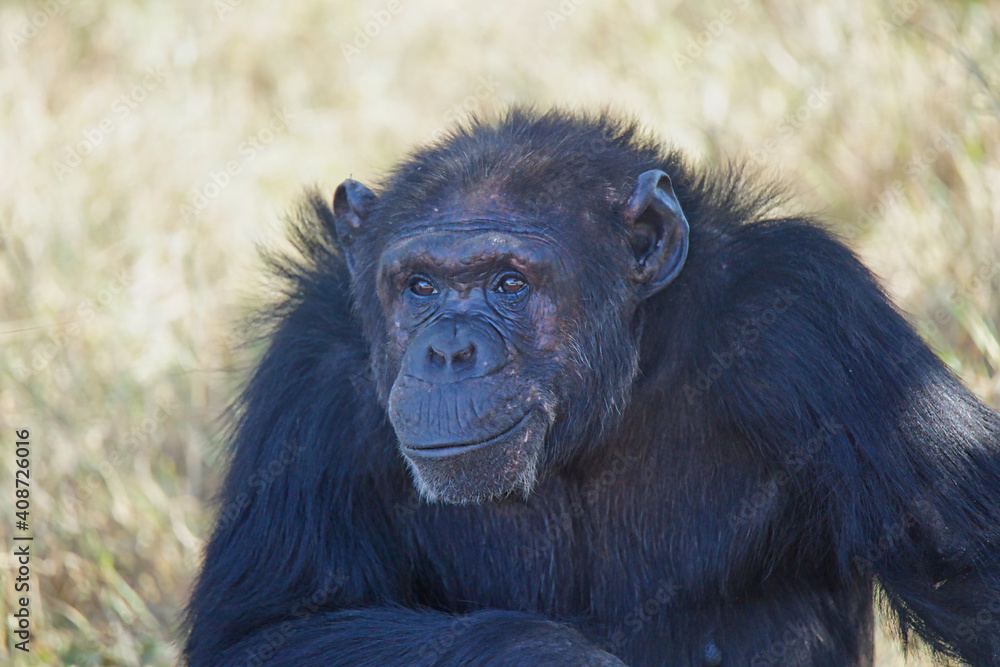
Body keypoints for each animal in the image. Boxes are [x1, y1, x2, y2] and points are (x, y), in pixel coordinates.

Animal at [186, 109, 1000, 667]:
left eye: (508, 282)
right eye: (418, 285)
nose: (448, 349)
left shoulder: (815, 321)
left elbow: (974, 566)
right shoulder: (311, 373)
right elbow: (268, 629)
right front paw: (544, 654)